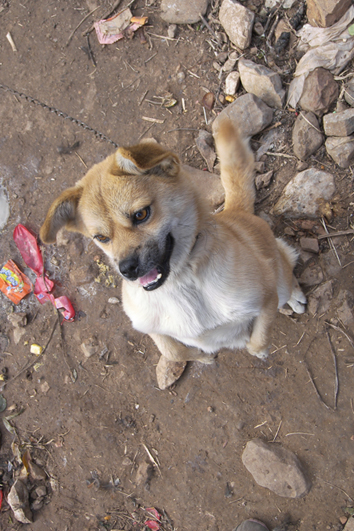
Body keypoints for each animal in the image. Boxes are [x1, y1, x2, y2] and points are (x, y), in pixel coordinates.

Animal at [39, 118, 306, 388]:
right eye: (101, 238)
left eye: (141, 214)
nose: (128, 270)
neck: (180, 283)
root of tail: (235, 211)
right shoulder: (149, 326)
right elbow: (174, 350)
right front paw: (203, 356)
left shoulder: (266, 299)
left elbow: (257, 342)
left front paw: (254, 347)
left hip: (279, 276)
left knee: (287, 272)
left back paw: (296, 298)